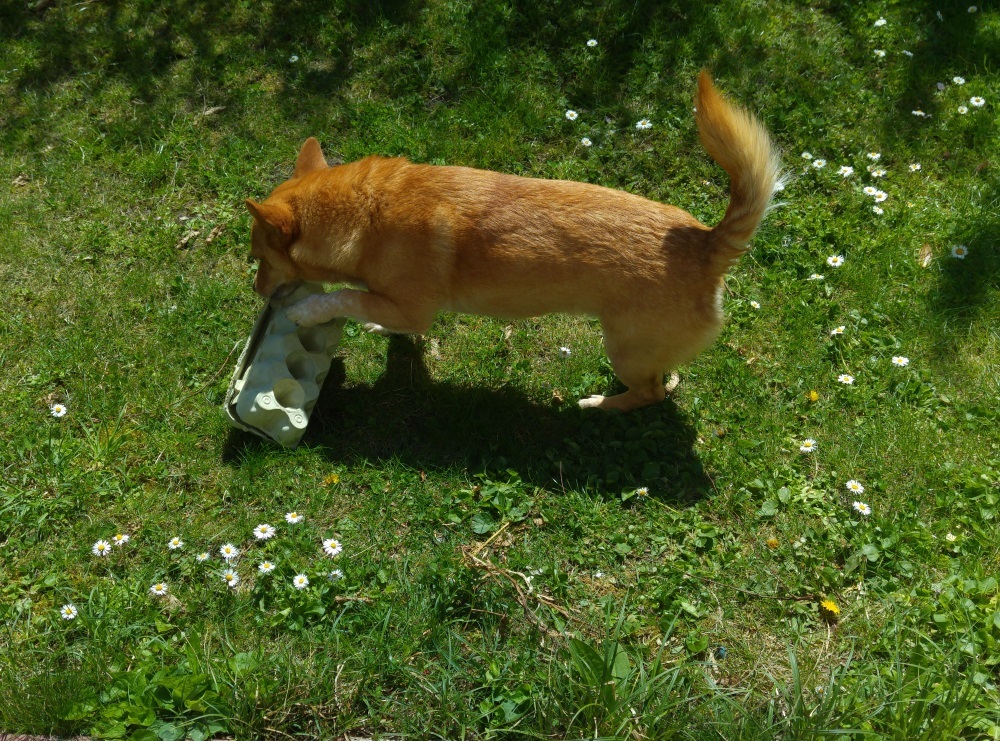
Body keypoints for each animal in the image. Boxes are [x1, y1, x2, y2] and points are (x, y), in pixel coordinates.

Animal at [244, 71, 780, 410]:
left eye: (258, 258)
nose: (255, 292)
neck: (367, 212)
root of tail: (705, 242)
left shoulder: (412, 308)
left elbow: (344, 296)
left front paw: (311, 310)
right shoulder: (396, 305)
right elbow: (369, 304)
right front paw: (373, 324)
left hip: (625, 349)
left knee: (652, 394)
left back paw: (598, 405)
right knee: (661, 382)